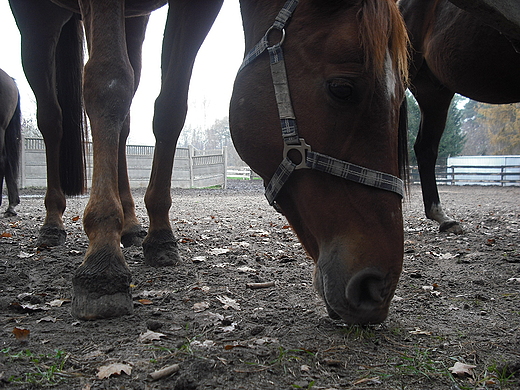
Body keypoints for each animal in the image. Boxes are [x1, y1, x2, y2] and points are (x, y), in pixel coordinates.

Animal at [7, 0, 406, 324]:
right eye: (342, 89)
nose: (379, 288)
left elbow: (170, 107)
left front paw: (160, 236)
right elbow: (107, 82)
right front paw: (101, 261)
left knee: (125, 121)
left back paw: (131, 225)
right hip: (38, 18)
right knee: (53, 118)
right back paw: (54, 221)